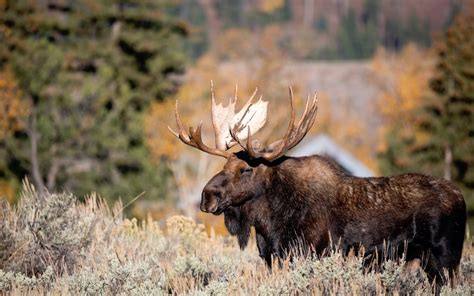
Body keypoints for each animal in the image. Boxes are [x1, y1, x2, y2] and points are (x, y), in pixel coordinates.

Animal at [168, 84, 464, 286]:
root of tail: (461, 197)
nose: (207, 196)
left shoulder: (314, 252)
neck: (270, 222)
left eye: (246, 169)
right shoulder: (272, 256)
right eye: (223, 166)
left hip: (447, 257)